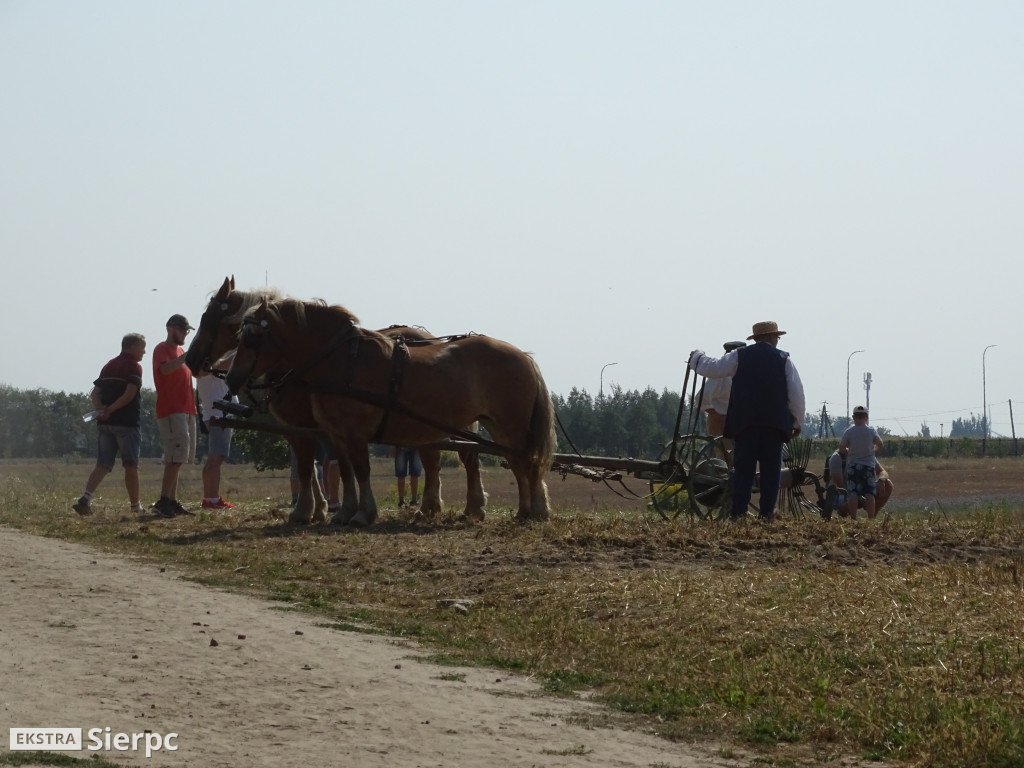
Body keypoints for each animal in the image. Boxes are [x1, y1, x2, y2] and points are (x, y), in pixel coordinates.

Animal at [182, 280, 485, 528]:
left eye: (209, 318)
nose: (191, 360)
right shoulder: (315, 427)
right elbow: (322, 468)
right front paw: (321, 509)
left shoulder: (302, 425)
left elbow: (308, 467)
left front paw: (306, 510)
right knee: (436, 459)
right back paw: (433, 507)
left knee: (461, 457)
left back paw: (468, 506)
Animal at [228, 296, 557, 528]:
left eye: (250, 338)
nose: (231, 377)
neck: (340, 360)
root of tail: (524, 357)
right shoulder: (336, 434)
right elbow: (345, 471)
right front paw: (344, 512)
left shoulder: (351, 432)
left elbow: (360, 470)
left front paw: (363, 514)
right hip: (499, 426)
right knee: (515, 463)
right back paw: (523, 510)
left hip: (512, 425)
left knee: (526, 463)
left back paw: (536, 511)